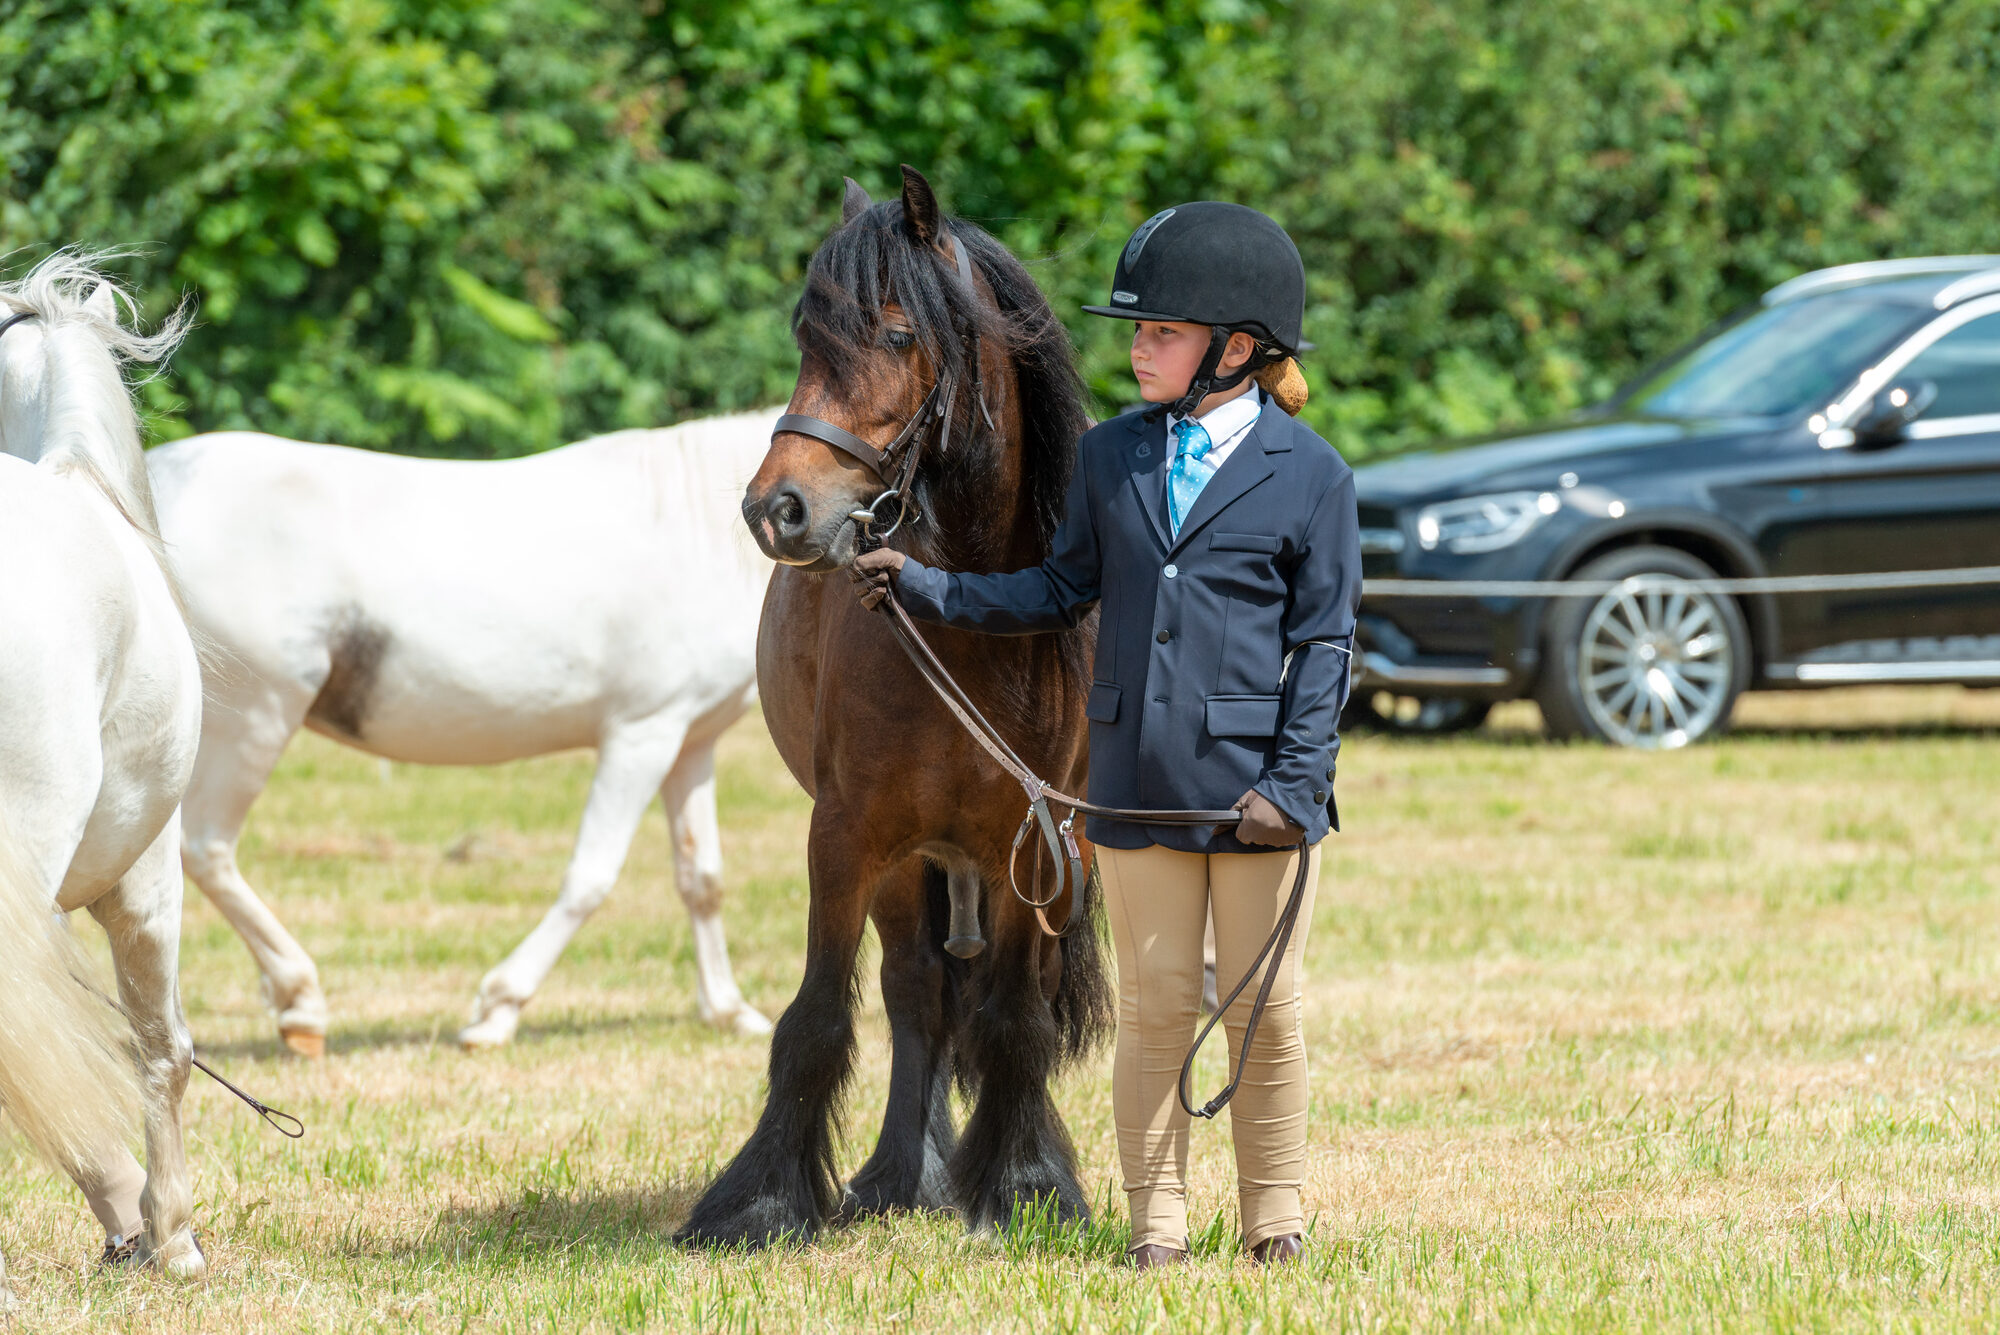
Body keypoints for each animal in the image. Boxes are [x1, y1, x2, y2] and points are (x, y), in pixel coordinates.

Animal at [146, 410, 781, 1056]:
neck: (694, 529)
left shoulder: (691, 742)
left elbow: (701, 877)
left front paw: (730, 1010)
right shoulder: (642, 733)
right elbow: (591, 876)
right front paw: (498, 1009)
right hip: (255, 720)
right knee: (204, 849)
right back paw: (300, 1000)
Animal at [676, 167, 1111, 1248]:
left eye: (899, 334)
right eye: (806, 339)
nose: (778, 509)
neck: (970, 626)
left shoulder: (1033, 845)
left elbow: (1015, 1018)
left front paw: (1025, 1185)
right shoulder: (845, 836)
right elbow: (818, 1018)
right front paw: (762, 1199)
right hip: (904, 860)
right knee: (915, 991)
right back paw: (899, 1173)